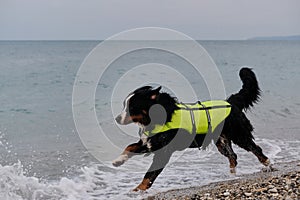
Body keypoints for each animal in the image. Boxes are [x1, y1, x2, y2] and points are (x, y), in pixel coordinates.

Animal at [112, 68, 270, 191]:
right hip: (222, 141)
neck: (158, 118)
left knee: (255, 149)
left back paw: (267, 164)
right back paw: (231, 174)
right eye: (124, 105)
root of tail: (231, 102)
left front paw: (138, 190)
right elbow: (130, 147)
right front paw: (118, 161)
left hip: (239, 135)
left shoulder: (163, 151)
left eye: (132, 107)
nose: (117, 119)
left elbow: (150, 174)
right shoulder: (150, 142)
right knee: (233, 156)